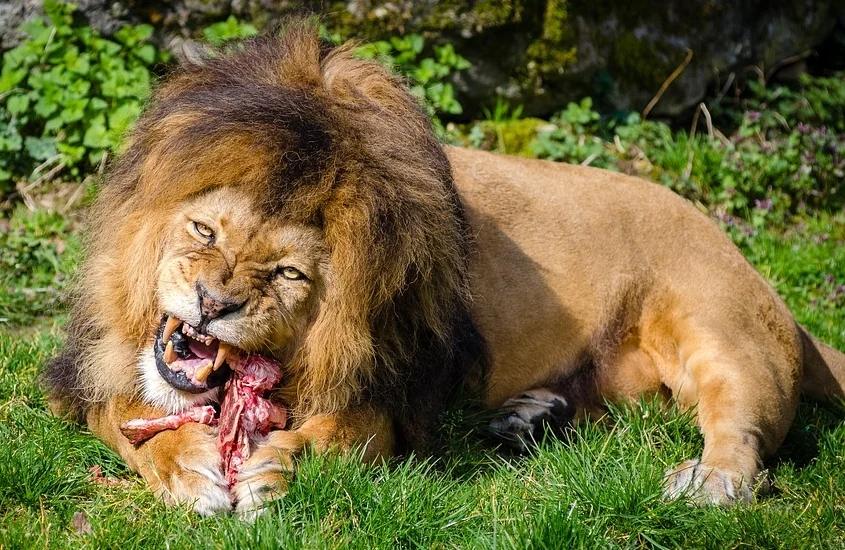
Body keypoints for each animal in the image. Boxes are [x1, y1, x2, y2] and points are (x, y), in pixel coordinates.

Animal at [44, 23, 845, 517]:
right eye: (204, 230)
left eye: (288, 275)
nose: (212, 304)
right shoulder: (91, 371)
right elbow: (133, 423)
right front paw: (189, 469)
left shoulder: (394, 397)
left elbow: (337, 435)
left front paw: (277, 467)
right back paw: (528, 417)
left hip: (721, 332)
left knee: (742, 431)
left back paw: (706, 481)